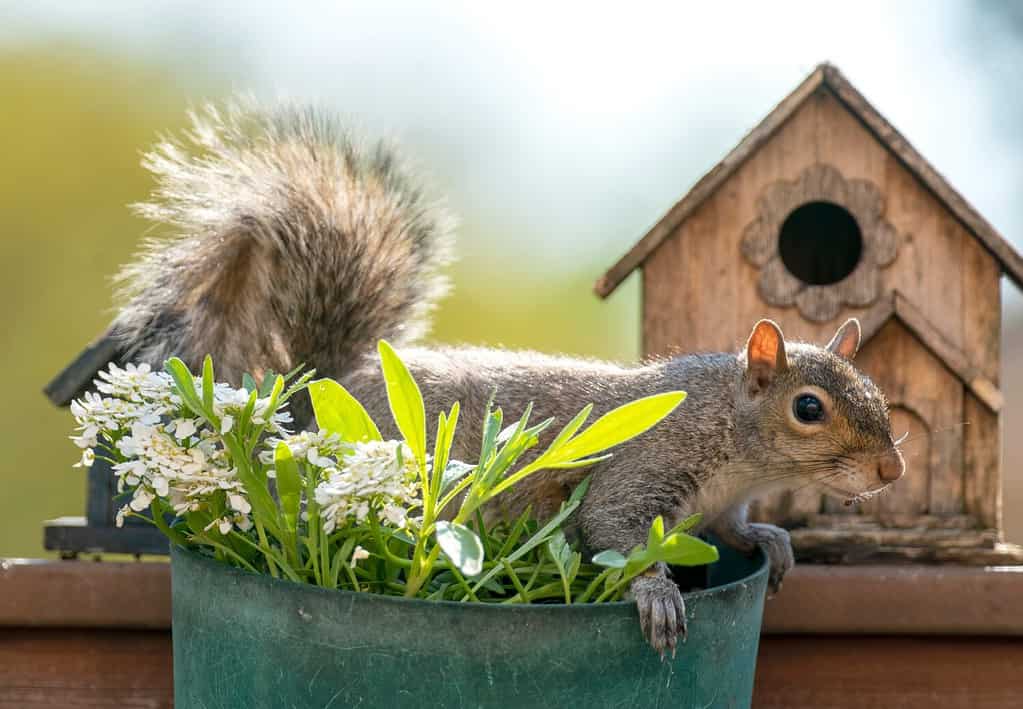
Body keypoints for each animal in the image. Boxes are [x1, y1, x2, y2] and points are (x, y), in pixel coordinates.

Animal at [90, 98, 904, 650]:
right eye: (808, 408)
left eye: (879, 395)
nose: (891, 470)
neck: (731, 441)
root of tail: (312, 395)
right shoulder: (644, 465)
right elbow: (614, 530)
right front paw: (656, 594)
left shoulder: (720, 505)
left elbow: (733, 530)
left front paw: (772, 538)